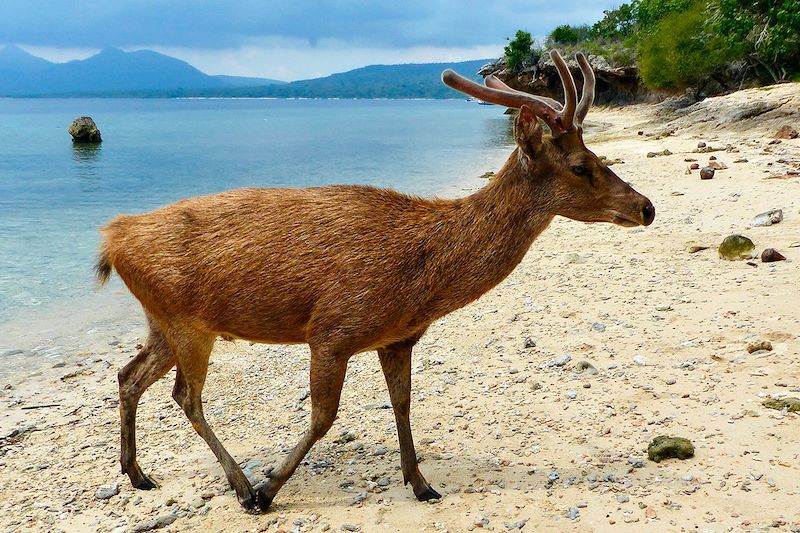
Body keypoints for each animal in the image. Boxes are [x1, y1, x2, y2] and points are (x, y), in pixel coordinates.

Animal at [97, 50, 652, 512]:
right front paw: (269, 489)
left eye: (599, 156)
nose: (646, 206)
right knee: (184, 396)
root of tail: (112, 238)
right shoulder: (333, 329)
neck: (422, 281)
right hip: (185, 320)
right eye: (581, 165)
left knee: (129, 375)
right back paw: (240, 485)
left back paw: (137, 474)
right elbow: (324, 416)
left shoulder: (398, 337)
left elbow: (402, 404)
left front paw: (422, 484)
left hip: (165, 321)